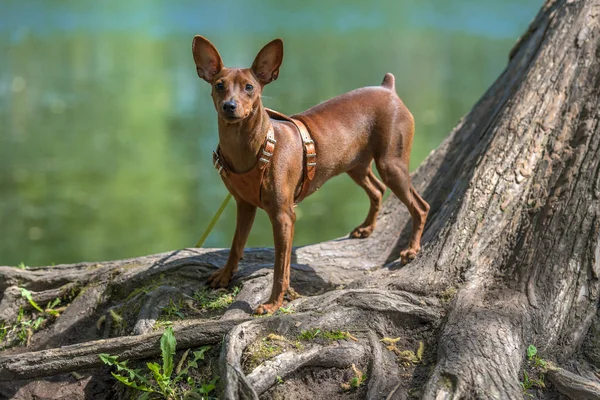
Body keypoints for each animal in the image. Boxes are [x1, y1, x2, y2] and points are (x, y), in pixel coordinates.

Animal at [192, 36, 426, 314]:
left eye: (249, 87)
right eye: (219, 85)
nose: (229, 106)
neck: (253, 147)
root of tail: (387, 89)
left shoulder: (283, 216)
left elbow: (280, 268)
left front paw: (273, 303)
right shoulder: (244, 205)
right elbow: (236, 245)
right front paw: (225, 276)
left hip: (391, 165)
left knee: (420, 206)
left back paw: (411, 250)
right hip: (356, 166)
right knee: (378, 190)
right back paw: (367, 228)